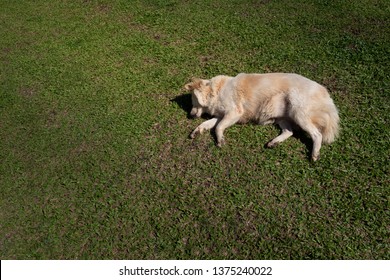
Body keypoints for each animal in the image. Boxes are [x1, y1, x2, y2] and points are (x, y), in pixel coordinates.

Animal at [184, 73, 340, 161]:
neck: (216, 90)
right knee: (289, 131)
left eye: (192, 100)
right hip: (282, 118)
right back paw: (274, 142)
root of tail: (325, 93)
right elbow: (209, 124)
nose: (190, 115)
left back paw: (315, 154)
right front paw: (197, 131)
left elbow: (218, 127)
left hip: (298, 113)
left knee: (317, 134)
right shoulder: (222, 115)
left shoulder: (234, 113)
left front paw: (220, 140)